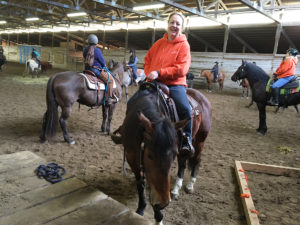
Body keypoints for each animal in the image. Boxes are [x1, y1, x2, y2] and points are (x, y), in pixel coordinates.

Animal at [111, 82, 212, 225]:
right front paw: (141, 207)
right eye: (150, 155)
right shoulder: (132, 157)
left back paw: (190, 184)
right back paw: (175, 189)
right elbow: (141, 182)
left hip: (200, 140)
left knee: (196, 160)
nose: (164, 203)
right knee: (182, 164)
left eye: (172, 155)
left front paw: (158, 216)